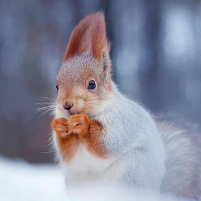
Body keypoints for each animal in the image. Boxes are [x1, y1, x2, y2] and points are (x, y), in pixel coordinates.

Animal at [51, 12, 201, 199]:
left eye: (92, 84)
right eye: (57, 86)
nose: (67, 105)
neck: (93, 112)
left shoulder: (122, 122)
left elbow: (107, 142)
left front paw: (83, 123)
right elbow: (68, 153)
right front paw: (59, 127)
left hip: (130, 173)